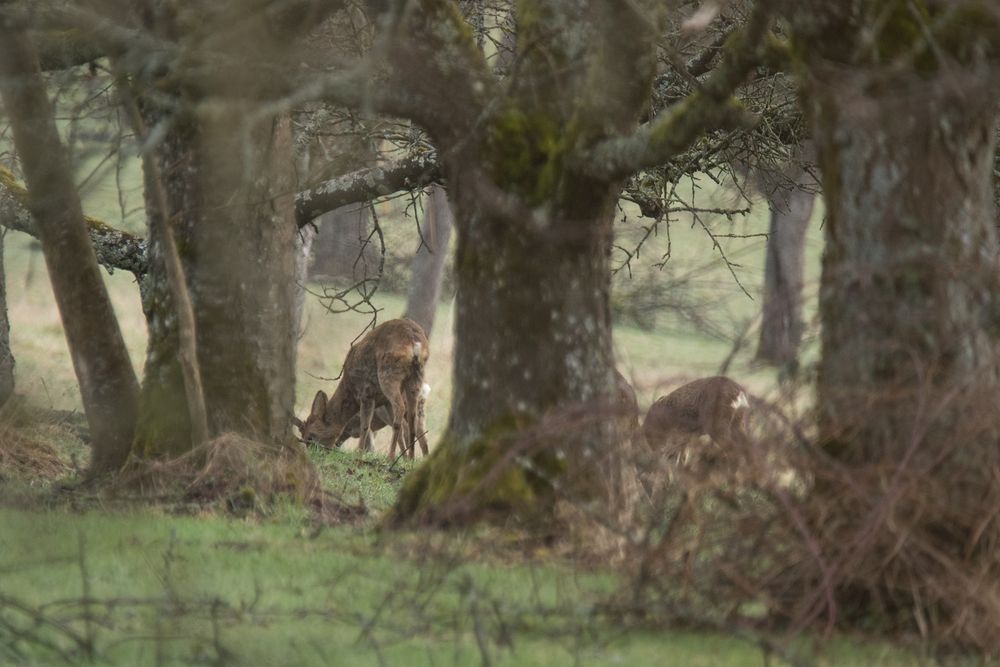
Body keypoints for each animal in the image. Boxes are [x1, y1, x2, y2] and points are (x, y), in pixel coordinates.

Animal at [292, 318, 428, 460]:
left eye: (310, 436)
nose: (314, 454)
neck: (349, 391)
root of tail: (414, 340)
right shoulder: (384, 401)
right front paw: (405, 457)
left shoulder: (366, 393)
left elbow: (365, 426)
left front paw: (359, 453)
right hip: (417, 376)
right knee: (412, 417)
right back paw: (411, 457)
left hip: (389, 372)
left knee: (400, 408)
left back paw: (391, 456)